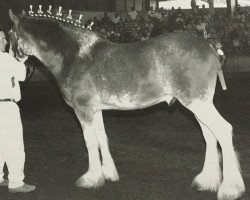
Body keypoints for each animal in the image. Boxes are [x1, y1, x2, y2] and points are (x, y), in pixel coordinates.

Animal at [9, 9, 244, 200]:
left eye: (10, 34)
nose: (16, 60)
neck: (74, 54)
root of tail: (211, 47)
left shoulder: (83, 109)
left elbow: (90, 142)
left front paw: (91, 178)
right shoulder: (96, 109)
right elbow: (102, 138)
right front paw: (108, 174)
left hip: (198, 104)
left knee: (223, 130)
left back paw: (230, 189)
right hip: (198, 105)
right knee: (210, 135)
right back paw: (207, 181)